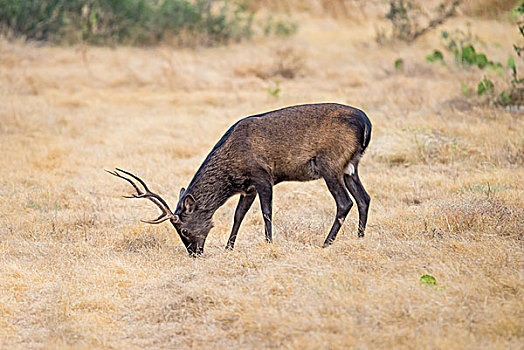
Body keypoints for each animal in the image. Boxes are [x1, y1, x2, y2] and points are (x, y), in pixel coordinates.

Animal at [106, 102, 370, 256]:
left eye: (183, 229)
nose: (194, 252)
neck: (232, 169)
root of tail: (366, 123)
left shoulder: (263, 175)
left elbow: (266, 212)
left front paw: (268, 243)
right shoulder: (248, 188)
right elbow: (238, 215)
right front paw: (228, 247)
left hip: (330, 163)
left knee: (345, 202)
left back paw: (326, 243)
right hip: (350, 166)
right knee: (364, 198)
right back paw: (359, 237)